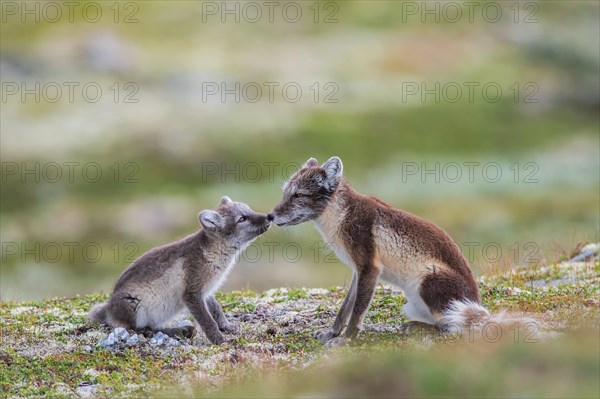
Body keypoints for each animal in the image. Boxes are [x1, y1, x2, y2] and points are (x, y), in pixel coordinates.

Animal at [89, 198, 272, 346]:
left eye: (249, 209)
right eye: (242, 219)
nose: (269, 216)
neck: (212, 254)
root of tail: (109, 309)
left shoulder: (206, 291)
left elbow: (217, 310)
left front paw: (227, 326)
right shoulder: (191, 293)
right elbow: (207, 321)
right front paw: (219, 340)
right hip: (134, 307)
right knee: (143, 330)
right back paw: (179, 331)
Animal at [272, 158, 520, 346]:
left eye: (298, 195)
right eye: (284, 193)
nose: (271, 216)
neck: (342, 215)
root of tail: (477, 303)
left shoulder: (370, 268)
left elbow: (357, 313)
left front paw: (346, 340)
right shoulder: (358, 271)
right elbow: (345, 309)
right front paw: (331, 334)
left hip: (429, 281)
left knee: (452, 329)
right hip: (412, 303)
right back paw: (412, 326)